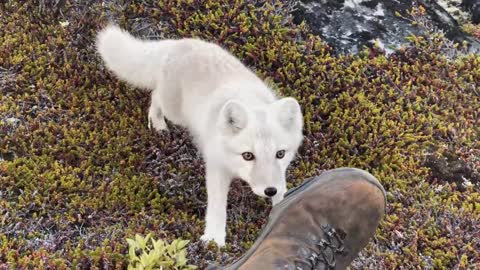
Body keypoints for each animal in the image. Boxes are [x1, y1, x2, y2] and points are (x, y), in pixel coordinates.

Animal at [95, 24, 302, 246]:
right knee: (154, 95)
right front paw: (214, 240)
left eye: (280, 154)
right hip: (174, 112)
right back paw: (158, 124)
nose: (269, 190)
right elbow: (218, 208)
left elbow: (283, 190)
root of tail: (178, 44)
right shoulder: (216, 167)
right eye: (248, 155)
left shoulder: (279, 174)